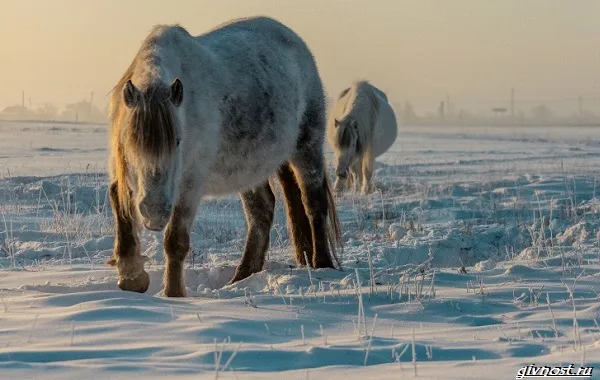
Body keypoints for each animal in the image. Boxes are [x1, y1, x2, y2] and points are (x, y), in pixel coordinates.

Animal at [103, 17, 342, 296]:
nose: (155, 212)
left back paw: (322, 265)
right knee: (261, 211)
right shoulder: (124, 175)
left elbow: (175, 241)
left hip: (307, 148)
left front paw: (173, 294)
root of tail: (295, 42)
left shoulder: (190, 184)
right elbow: (120, 207)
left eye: (178, 140)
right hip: (249, 169)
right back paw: (243, 276)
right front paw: (132, 277)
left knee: (314, 203)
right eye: (131, 142)